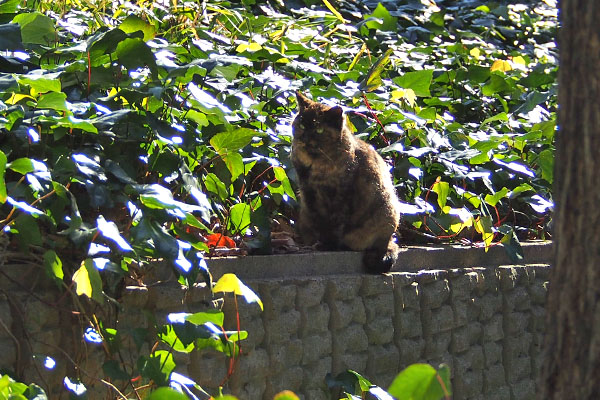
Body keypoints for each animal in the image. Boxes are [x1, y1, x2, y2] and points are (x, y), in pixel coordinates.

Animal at [292, 91, 400, 274]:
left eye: (319, 129)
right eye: (301, 125)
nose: (304, 138)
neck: (315, 165)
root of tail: (388, 240)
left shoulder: (341, 194)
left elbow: (335, 224)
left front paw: (328, 245)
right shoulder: (308, 192)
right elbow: (316, 220)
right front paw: (315, 243)